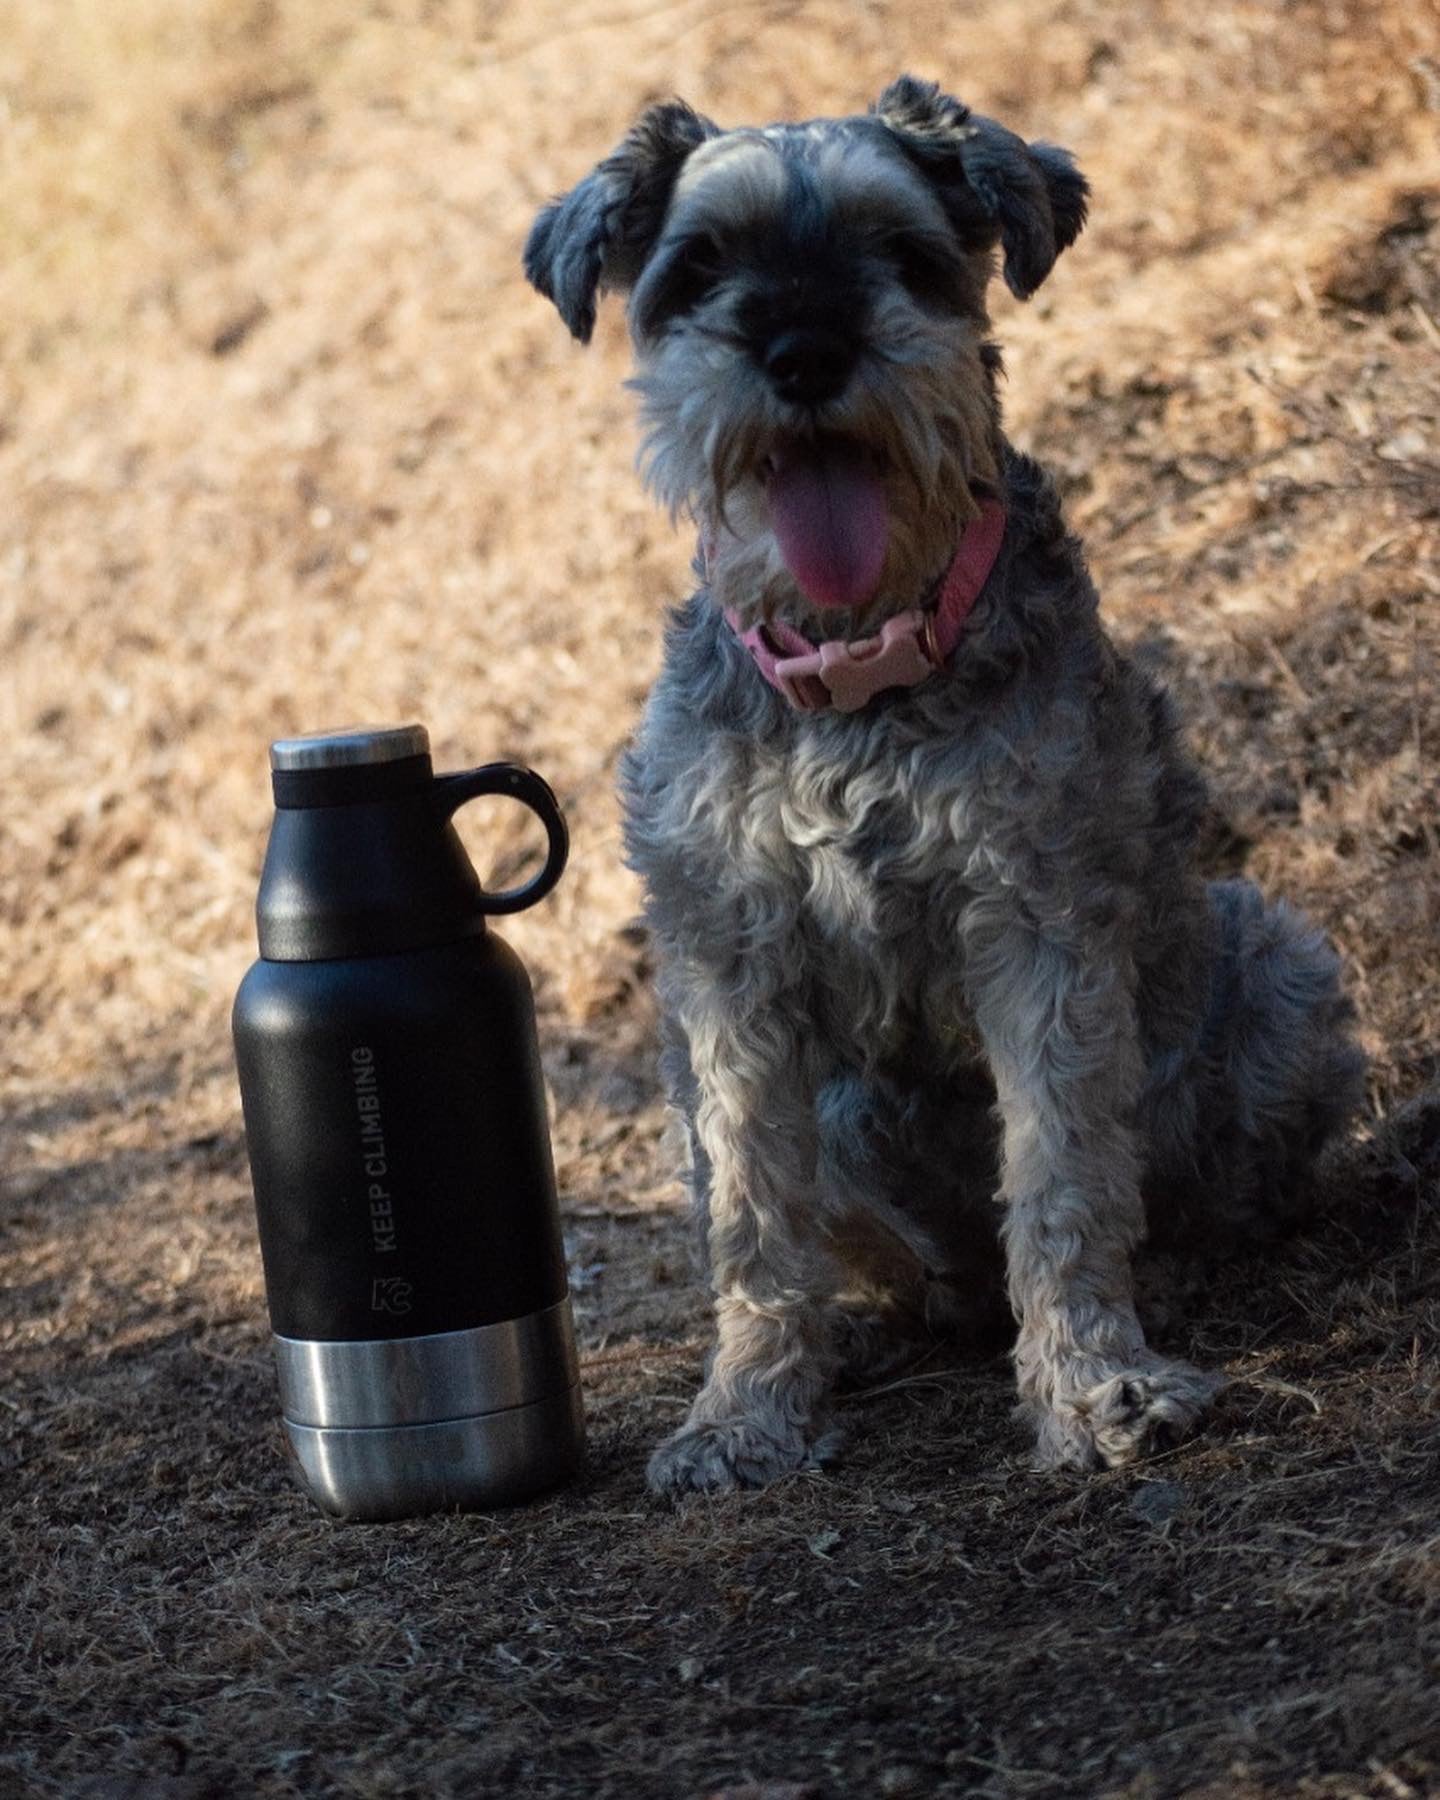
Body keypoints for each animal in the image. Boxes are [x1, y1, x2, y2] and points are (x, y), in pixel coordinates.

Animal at [522, 77, 1368, 1490]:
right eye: (702, 266)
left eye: (899, 250)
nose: (805, 353)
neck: (860, 668)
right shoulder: (726, 973)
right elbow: (754, 1213)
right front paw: (743, 1411)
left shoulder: (1038, 927)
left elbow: (1068, 1171)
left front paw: (1095, 1384)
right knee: (883, 1258)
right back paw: (871, 1332)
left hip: (1276, 964)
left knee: (1204, 1192)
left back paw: (1173, 1274)